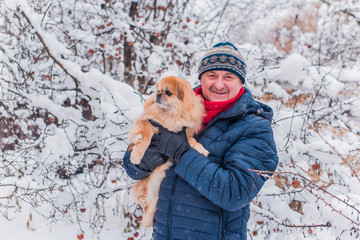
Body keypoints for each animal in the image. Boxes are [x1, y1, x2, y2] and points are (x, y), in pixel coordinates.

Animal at [129, 75, 208, 227]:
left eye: (168, 92)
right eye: (157, 91)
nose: (158, 95)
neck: (171, 114)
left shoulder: (183, 132)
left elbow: (190, 141)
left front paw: (201, 149)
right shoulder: (147, 122)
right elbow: (145, 137)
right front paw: (137, 155)